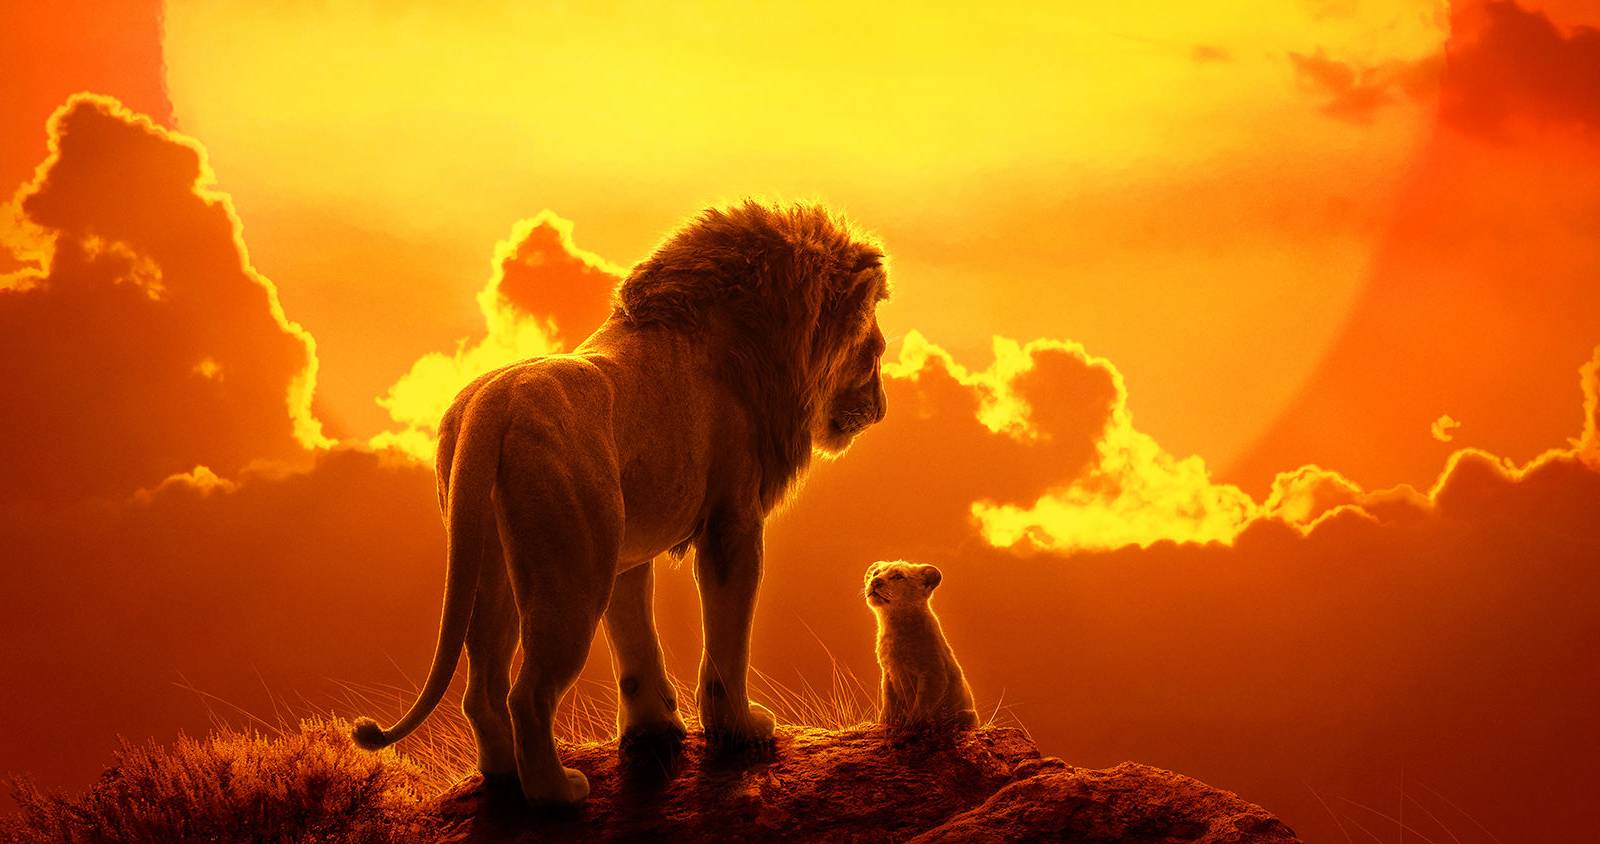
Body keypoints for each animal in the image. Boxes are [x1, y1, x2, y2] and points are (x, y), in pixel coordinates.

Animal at [352, 201, 890, 805]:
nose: (882, 408)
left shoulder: (626, 551)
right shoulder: (732, 522)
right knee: (528, 694)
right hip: (572, 575)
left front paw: (653, 730)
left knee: (484, 688)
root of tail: (492, 406)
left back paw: (504, 778)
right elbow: (727, 640)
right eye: (875, 353)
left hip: (492, 567)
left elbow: (635, 643)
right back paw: (556, 793)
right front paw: (740, 729)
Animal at [865, 561, 978, 730]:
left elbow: (922, 704)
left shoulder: (933, 672)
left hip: (967, 714)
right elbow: (888, 701)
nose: (875, 582)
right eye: (876, 573)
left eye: (898, 576)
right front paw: (886, 723)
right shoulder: (888, 673)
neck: (893, 624)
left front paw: (912, 725)